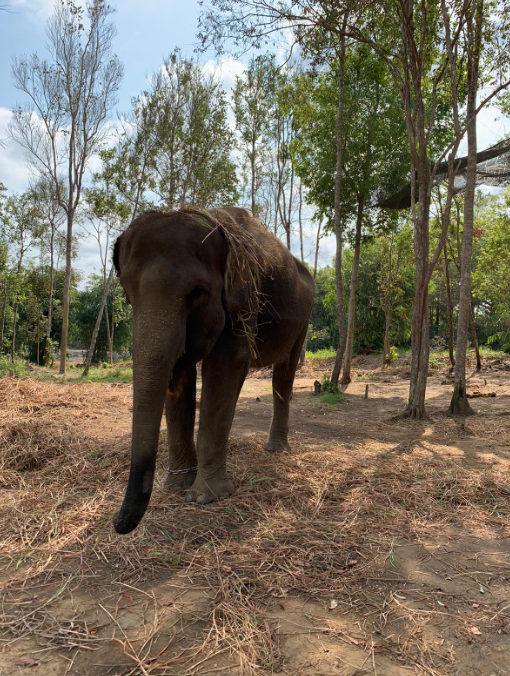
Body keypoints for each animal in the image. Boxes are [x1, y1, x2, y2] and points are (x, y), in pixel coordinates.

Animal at [111, 206, 314, 532]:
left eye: (198, 293)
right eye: (128, 294)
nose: (116, 522)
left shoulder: (243, 300)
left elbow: (225, 367)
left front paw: (205, 497)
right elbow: (179, 374)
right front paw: (177, 487)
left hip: (303, 318)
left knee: (285, 373)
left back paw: (276, 451)